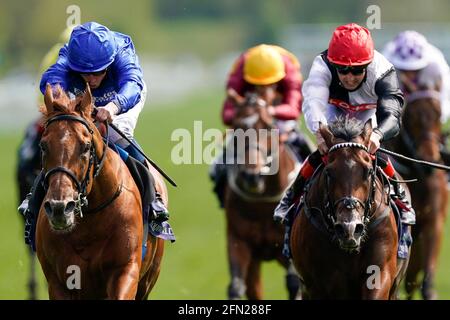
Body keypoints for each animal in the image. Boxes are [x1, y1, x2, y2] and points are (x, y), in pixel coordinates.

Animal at [35, 84, 165, 298]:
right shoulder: (59, 282)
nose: (59, 208)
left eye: (86, 146)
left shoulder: (125, 270)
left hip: (148, 278)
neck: (91, 218)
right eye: (43, 146)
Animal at [224, 86, 302, 298]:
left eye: (267, 125)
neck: (263, 202)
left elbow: (294, 282)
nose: (253, 176)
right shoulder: (239, 240)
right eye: (236, 126)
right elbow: (236, 286)